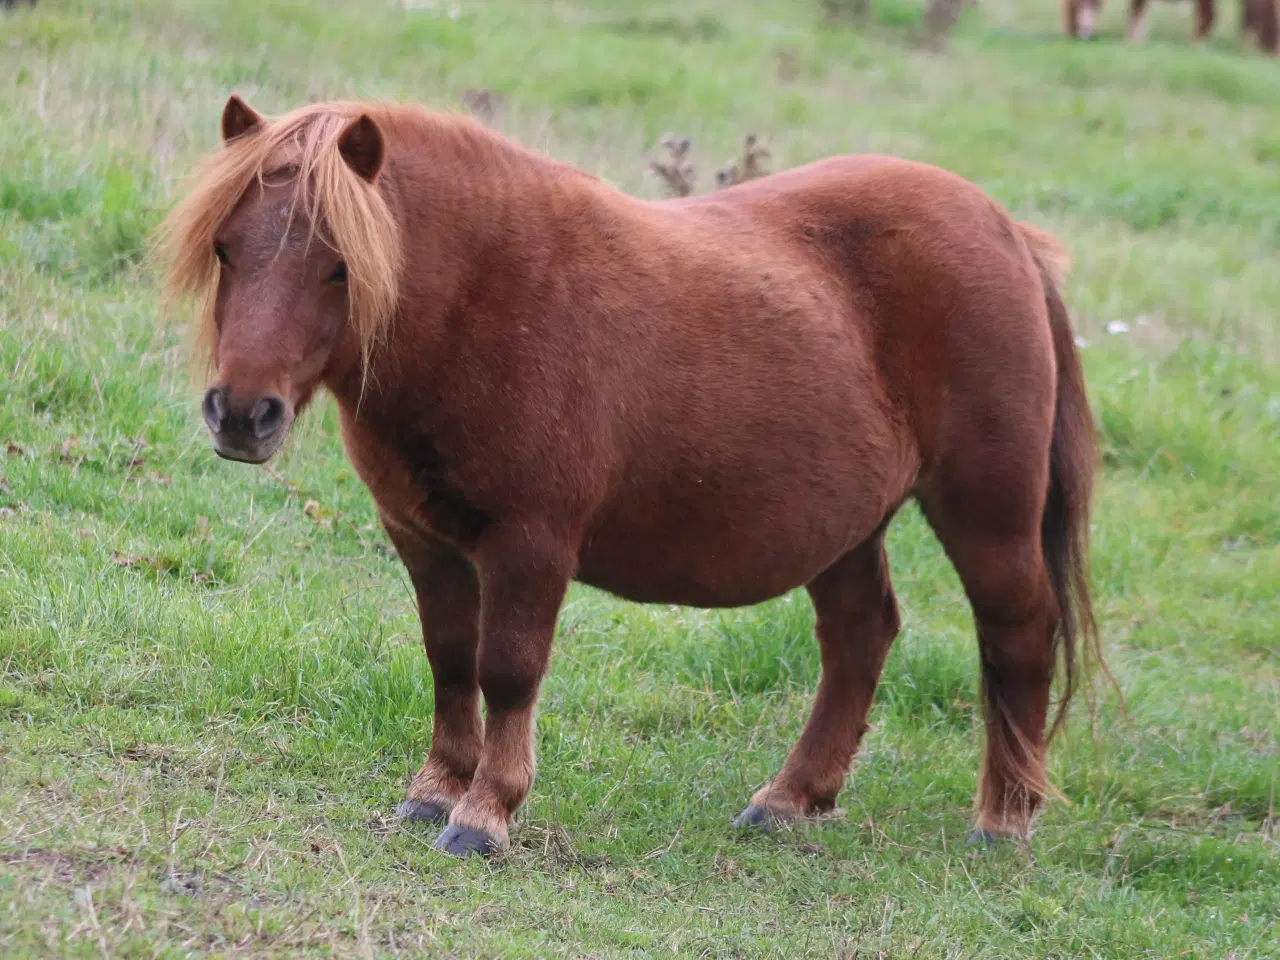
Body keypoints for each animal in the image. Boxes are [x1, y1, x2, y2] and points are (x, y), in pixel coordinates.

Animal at [160, 97, 1105, 860]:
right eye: (227, 249)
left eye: (339, 265)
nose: (241, 414)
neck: (490, 298)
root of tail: (1005, 229)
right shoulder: (424, 539)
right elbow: (449, 659)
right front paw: (433, 791)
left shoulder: (531, 544)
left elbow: (507, 670)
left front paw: (485, 814)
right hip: (847, 526)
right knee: (859, 636)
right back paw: (791, 799)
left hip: (986, 511)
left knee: (1018, 630)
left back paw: (1003, 820)